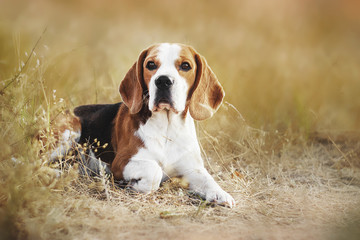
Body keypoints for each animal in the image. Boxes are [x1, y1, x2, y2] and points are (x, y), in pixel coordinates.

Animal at [52, 43, 235, 208]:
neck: (167, 128)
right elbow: (154, 171)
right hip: (71, 130)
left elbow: (207, 179)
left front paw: (220, 193)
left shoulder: (192, 168)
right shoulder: (121, 163)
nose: (163, 81)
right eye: (151, 64)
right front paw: (135, 185)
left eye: (185, 66)